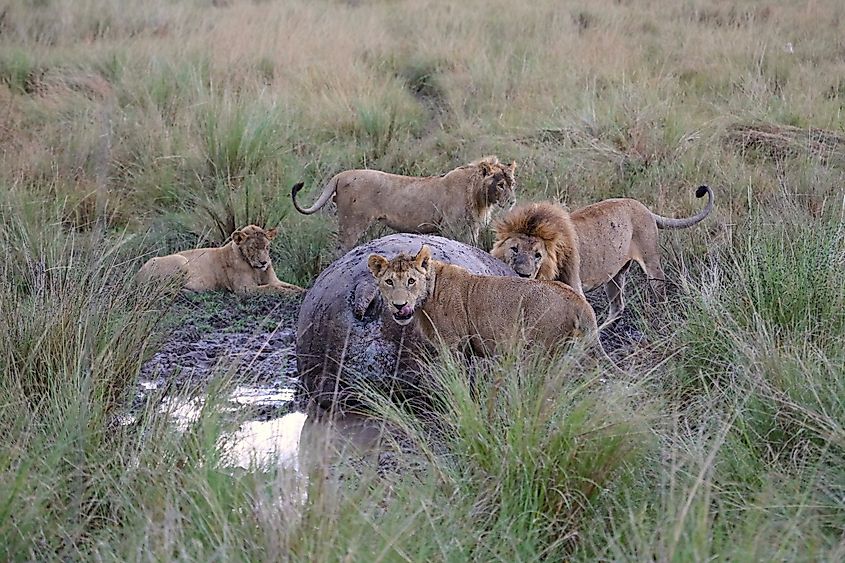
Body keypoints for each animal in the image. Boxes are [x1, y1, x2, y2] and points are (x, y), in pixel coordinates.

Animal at [136, 225, 305, 296]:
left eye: (267, 247)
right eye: (252, 248)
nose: (264, 262)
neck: (256, 270)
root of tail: (138, 274)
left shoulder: (274, 279)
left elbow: (290, 286)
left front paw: (303, 291)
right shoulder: (244, 289)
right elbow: (273, 288)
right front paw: (290, 293)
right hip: (180, 260)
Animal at [291, 156, 517, 250]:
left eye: (512, 183)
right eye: (500, 185)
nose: (513, 201)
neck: (480, 197)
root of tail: (341, 174)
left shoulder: (472, 229)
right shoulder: (450, 228)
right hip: (352, 222)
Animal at [367, 245, 621, 372]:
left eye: (411, 281)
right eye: (389, 282)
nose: (400, 305)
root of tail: (579, 300)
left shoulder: (454, 345)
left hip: (538, 351)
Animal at [491, 185, 714, 320]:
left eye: (538, 255)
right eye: (514, 249)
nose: (523, 274)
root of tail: (644, 208)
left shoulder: (574, 286)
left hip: (651, 263)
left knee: (659, 291)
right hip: (614, 276)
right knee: (618, 307)